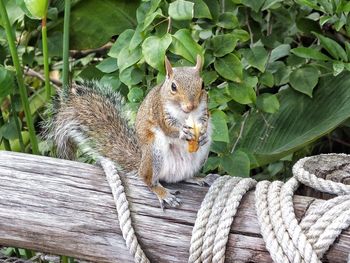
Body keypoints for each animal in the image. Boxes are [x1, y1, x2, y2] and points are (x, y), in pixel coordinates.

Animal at [45, 55, 212, 208]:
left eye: (203, 84)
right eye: (173, 87)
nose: (191, 106)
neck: (185, 115)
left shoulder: (204, 111)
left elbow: (205, 121)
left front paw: (202, 135)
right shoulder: (159, 111)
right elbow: (168, 128)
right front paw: (183, 132)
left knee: (181, 177)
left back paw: (196, 178)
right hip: (154, 150)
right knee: (147, 179)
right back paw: (162, 192)